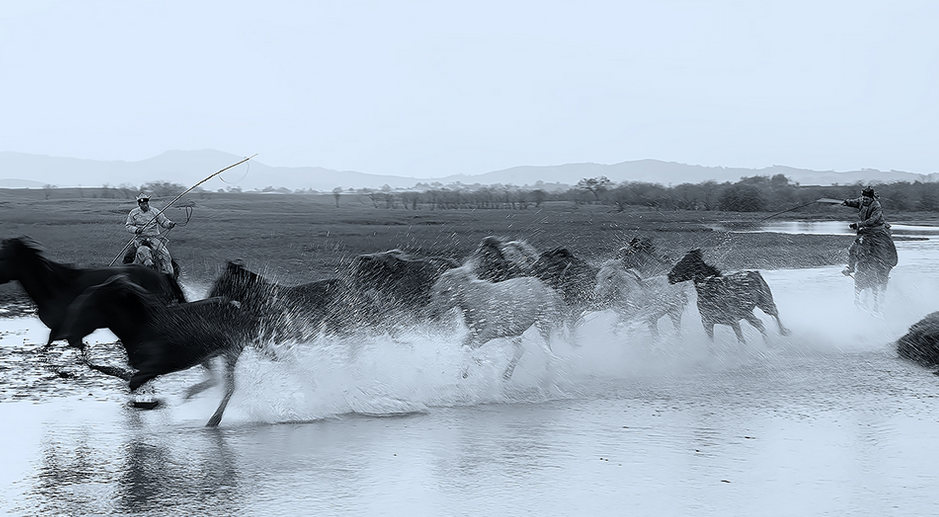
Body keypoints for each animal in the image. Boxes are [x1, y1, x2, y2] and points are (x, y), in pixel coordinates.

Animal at [51, 276, 258, 426]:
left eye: (89, 306)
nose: (69, 336)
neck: (144, 327)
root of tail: (239, 308)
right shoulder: (147, 368)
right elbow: (124, 377)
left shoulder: (154, 367)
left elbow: (132, 382)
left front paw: (152, 405)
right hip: (211, 355)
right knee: (219, 380)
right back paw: (192, 394)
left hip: (230, 352)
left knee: (229, 385)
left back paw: (213, 420)